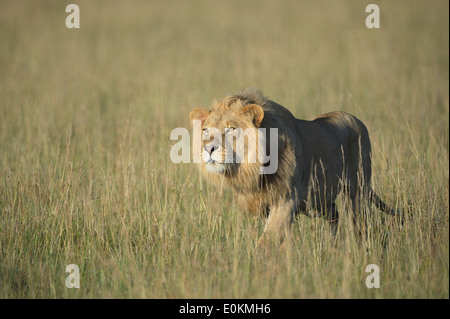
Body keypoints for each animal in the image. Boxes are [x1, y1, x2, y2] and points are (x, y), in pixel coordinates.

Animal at [189, 89, 398, 246]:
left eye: (231, 129)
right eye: (205, 130)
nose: (208, 148)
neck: (253, 170)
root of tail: (355, 119)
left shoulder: (286, 200)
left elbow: (267, 241)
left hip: (357, 190)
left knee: (359, 223)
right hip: (319, 201)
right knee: (335, 216)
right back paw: (332, 248)